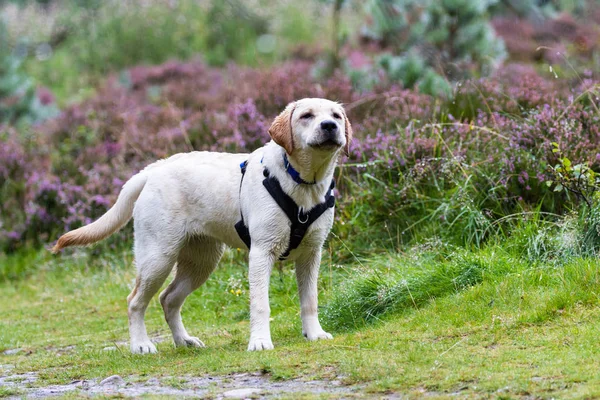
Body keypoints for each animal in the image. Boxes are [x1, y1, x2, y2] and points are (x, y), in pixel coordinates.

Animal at [52, 97, 352, 354]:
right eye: (306, 116)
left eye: (336, 116)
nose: (329, 126)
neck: (303, 182)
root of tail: (153, 169)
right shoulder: (261, 252)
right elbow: (260, 304)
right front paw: (259, 342)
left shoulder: (312, 254)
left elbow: (310, 300)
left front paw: (314, 333)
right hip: (158, 257)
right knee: (135, 301)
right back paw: (141, 345)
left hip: (201, 261)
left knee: (168, 299)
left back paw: (183, 341)